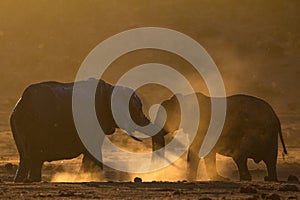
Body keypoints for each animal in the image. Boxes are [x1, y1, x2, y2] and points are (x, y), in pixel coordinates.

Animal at [10, 78, 165, 183]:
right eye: (137, 110)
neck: (111, 89)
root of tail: (22, 102)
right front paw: (91, 178)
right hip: (36, 127)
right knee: (35, 157)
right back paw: (32, 180)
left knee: (27, 157)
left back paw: (21, 181)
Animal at [155, 93, 288, 182]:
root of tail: (275, 117)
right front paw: (218, 178)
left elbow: (197, 151)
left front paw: (190, 179)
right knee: (269, 160)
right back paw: (268, 179)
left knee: (240, 156)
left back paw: (249, 178)